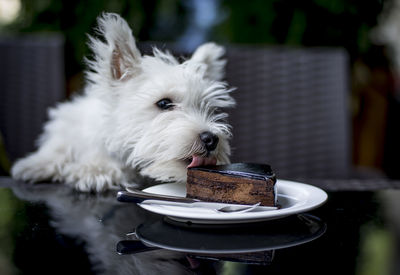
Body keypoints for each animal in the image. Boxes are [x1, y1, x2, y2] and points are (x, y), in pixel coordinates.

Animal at [10, 12, 236, 192]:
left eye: (207, 107)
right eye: (164, 103)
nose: (211, 139)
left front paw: (94, 170)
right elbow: (59, 146)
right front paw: (37, 164)